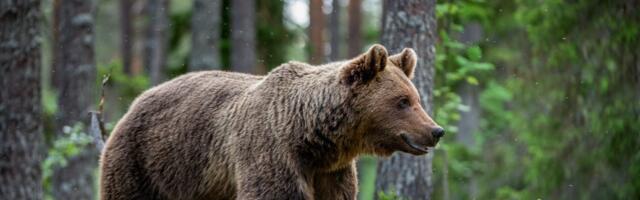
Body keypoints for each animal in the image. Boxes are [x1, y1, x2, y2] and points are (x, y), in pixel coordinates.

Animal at [100, 45, 442, 200]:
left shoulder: (331, 172)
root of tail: (136, 100)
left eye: (417, 99)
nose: (435, 131)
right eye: (402, 101)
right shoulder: (271, 153)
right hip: (144, 163)